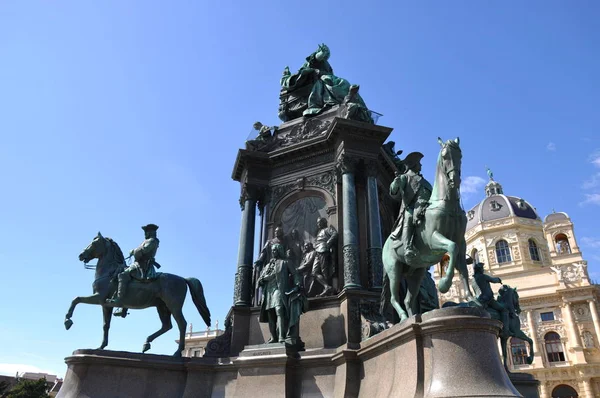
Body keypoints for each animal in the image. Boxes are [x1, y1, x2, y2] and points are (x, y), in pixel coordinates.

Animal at [65, 232, 211, 356]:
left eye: (94, 243)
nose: (81, 255)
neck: (109, 272)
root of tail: (183, 278)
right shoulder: (105, 304)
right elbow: (106, 325)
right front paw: (101, 346)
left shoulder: (99, 298)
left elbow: (76, 299)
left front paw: (67, 321)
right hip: (162, 307)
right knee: (167, 325)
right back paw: (147, 343)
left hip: (173, 306)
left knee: (182, 324)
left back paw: (177, 352)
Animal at [384, 138, 474, 322]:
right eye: (445, 156)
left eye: (460, 155)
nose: (455, 179)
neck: (448, 205)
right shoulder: (434, 239)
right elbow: (451, 248)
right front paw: (444, 284)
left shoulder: (461, 243)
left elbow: (463, 269)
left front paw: (472, 299)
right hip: (394, 269)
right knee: (394, 298)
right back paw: (404, 318)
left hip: (416, 273)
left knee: (408, 299)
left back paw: (415, 318)